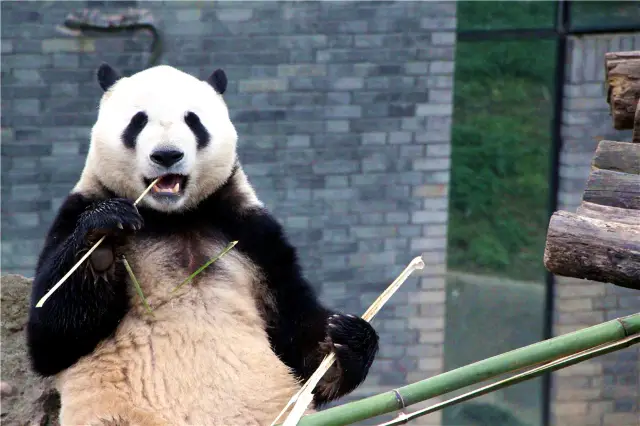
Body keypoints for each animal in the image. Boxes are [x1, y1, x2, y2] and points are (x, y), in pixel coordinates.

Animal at [26, 63, 379, 426]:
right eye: (138, 121)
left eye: (193, 121)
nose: (167, 155)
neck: (173, 217)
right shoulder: (75, 211)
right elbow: (52, 335)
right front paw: (103, 238)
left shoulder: (253, 236)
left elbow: (300, 343)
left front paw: (348, 338)